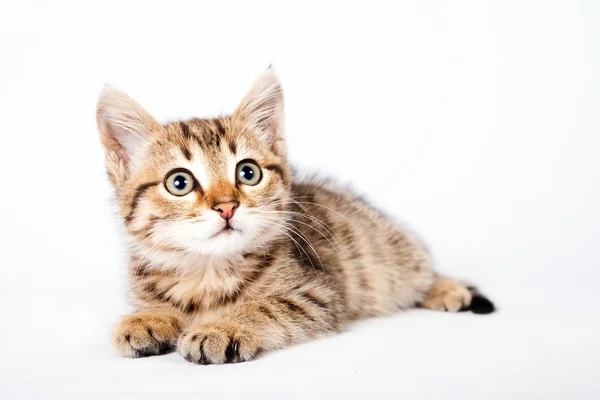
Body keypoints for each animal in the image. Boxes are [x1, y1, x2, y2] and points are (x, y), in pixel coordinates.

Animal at [96, 69, 494, 366]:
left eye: (248, 173)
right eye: (179, 183)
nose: (226, 206)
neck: (208, 273)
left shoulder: (318, 294)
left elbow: (268, 306)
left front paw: (222, 327)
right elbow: (159, 304)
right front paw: (149, 318)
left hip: (392, 254)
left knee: (420, 272)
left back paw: (447, 289)